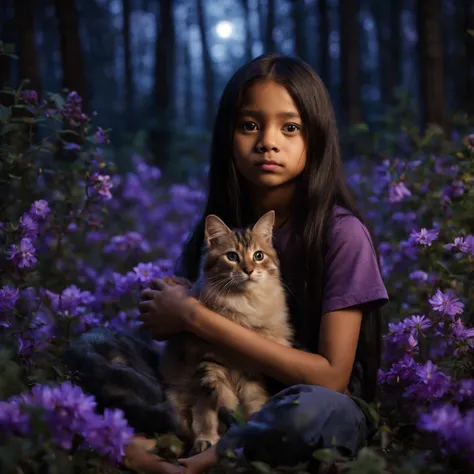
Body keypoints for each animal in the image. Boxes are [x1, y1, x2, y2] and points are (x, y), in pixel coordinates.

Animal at [160, 209, 292, 454]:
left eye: (258, 255)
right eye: (232, 257)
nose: (249, 270)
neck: (243, 308)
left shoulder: (251, 371)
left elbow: (253, 404)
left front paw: (251, 428)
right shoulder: (205, 367)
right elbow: (207, 412)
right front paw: (207, 439)